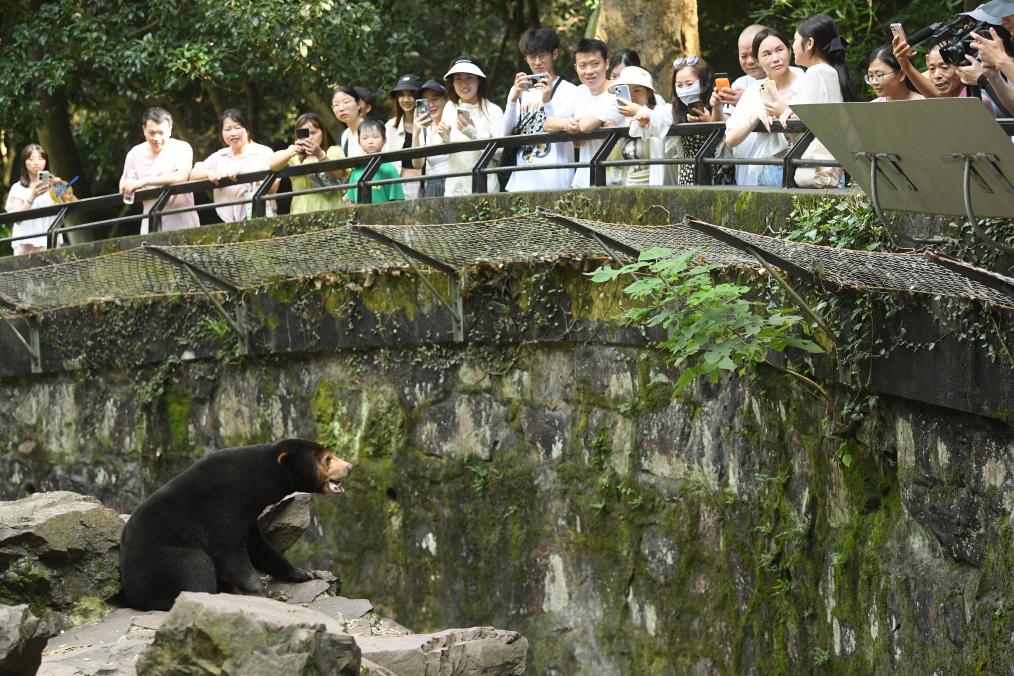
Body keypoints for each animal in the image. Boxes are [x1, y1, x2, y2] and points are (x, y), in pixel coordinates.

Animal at [119, 438, 353, 611]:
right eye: (327, 459)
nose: (350, 466)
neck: (258, 481)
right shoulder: (224, 507)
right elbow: (231, 553)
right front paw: (272, 594)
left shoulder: (248, 517)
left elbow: (260, 548)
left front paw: (306, 573)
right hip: (157, 564)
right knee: (195, 566)